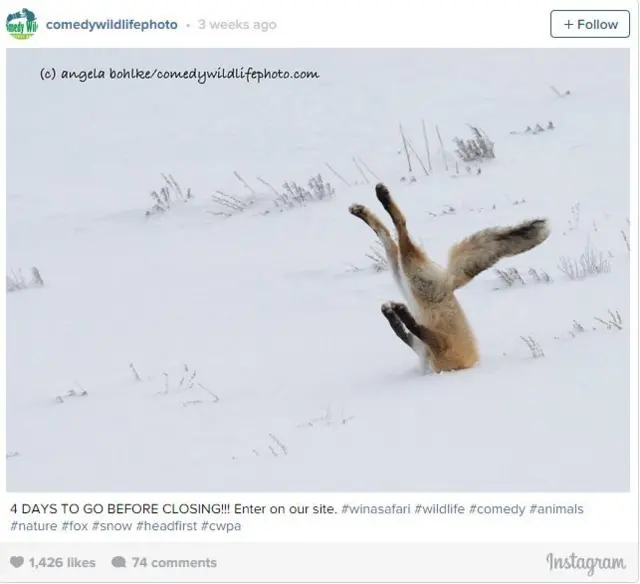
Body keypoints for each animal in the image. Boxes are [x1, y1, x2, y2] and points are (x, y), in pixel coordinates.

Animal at [349, 183, 550, 374]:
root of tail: (450, 283)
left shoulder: (438, 345)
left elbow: (411, 328)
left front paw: (397, 313)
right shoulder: (429, 346)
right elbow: (404, 330)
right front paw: (393, 313)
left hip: (408, 273)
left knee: (398, 229)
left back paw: (378, 200)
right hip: (403, 273)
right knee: (389, 234)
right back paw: (366, 208)